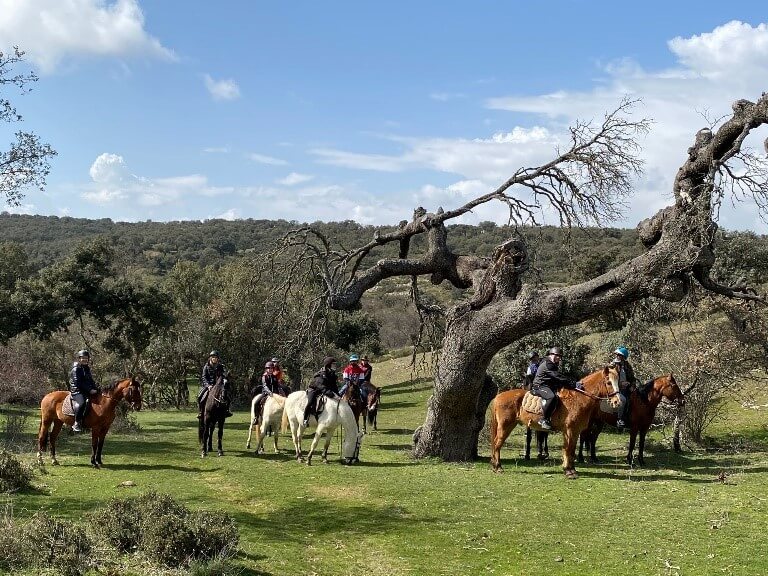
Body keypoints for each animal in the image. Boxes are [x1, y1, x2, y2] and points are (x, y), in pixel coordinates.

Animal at [488, 364, 620, 482]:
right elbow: (568, 449)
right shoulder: (570, 430)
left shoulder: (574, 431)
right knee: (497, 444)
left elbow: (570, 449)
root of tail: (498, 397)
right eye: (609, 382)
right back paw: (498, 467)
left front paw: (571, 470)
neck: (579, 399)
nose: (617, 402)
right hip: (505, 426)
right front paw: (569, 471)